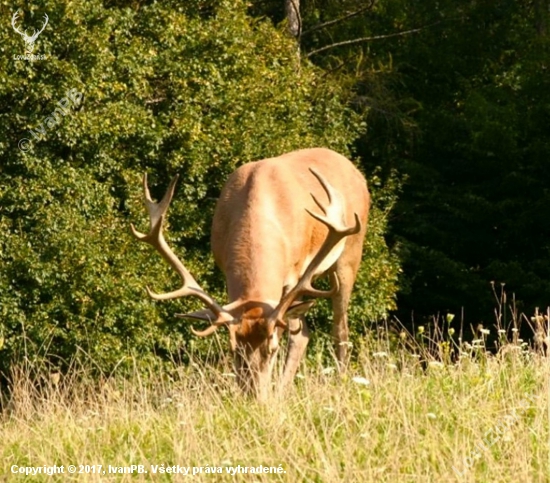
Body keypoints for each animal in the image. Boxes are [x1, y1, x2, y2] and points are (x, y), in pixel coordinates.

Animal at [132, 148, 370, 400]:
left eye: (273, 349)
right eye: (234, 350)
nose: (255, 399)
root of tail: (354, 170)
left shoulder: (294, 274)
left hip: (351, 250)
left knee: (338, 329)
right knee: (306, 332)